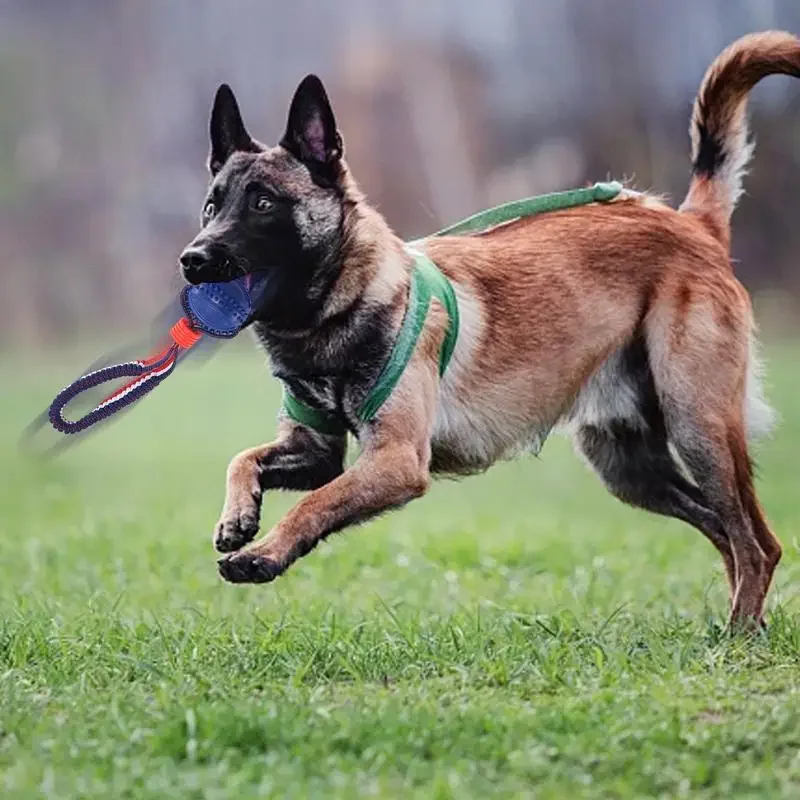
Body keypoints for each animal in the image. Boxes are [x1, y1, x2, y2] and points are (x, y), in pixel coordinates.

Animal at [178, 31, 796, 628]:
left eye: (263, 203)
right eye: (211, 207)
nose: (192, 260)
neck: (340, 310)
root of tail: (692, 224)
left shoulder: (396, 461)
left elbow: (316, 503)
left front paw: (263, 555)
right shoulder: (315, 452)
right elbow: (245, 458)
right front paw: (238, 517)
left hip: (697, 426)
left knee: (758, 542)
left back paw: (737, 636)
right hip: (627, 465)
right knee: (724, 531)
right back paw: (743, 623)